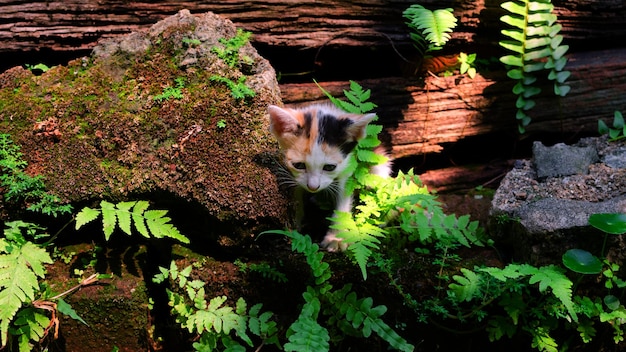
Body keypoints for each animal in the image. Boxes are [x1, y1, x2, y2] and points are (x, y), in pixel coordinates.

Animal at [266, 103, 388, 252]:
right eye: (299, 165)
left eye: (329, 167)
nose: (313, 187)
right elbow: (297, 193)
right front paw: (295, 225)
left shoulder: (347, 167)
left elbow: (343, 198)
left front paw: (336, 238)